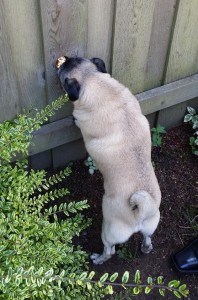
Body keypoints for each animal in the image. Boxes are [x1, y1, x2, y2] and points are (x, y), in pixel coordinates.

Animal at [56, 56, 162, 264]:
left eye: (63, 78)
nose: (65, 59)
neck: (96, 81)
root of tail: (141, 213)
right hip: (151, 224)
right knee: (147, 237)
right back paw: (146, 247)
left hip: (108, 230)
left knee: (110, 250)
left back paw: (98, 259)